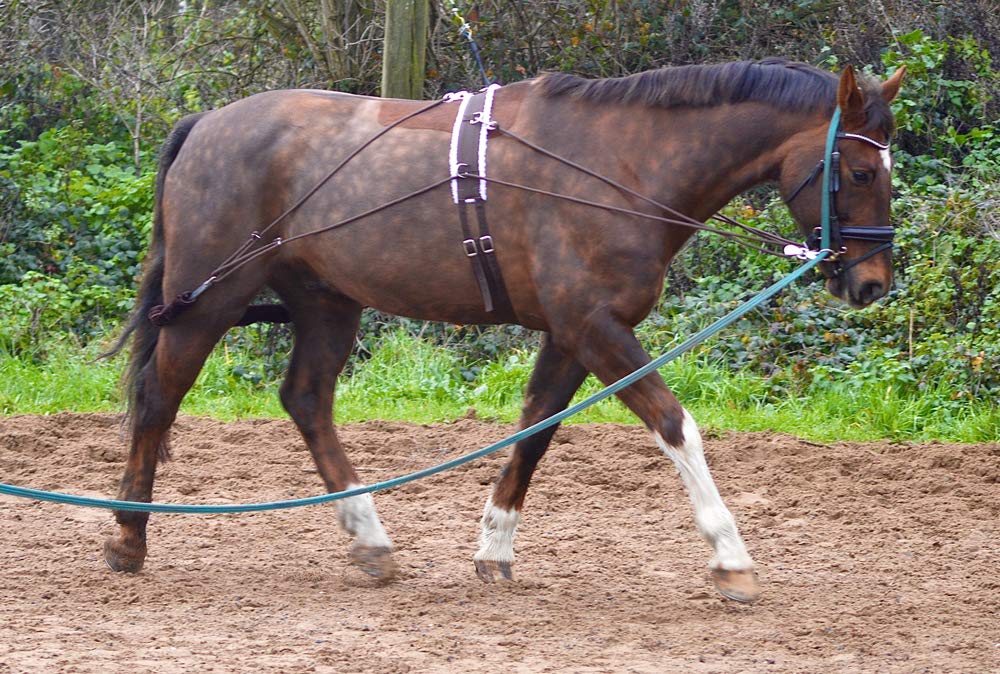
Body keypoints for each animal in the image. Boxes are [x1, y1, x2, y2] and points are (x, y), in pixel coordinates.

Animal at [103, 59, 904, 603]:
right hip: (208, 301)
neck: (620, 163)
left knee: (304, 399)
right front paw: (730, 555)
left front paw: (493, 547)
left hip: (327, 301)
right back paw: (128, 535)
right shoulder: (594, 327)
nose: (871, 284)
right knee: (160, 399)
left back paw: (369, 537)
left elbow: (536, 432)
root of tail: (206, 124)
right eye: (861, 171)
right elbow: (676, 425)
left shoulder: (572, 333)